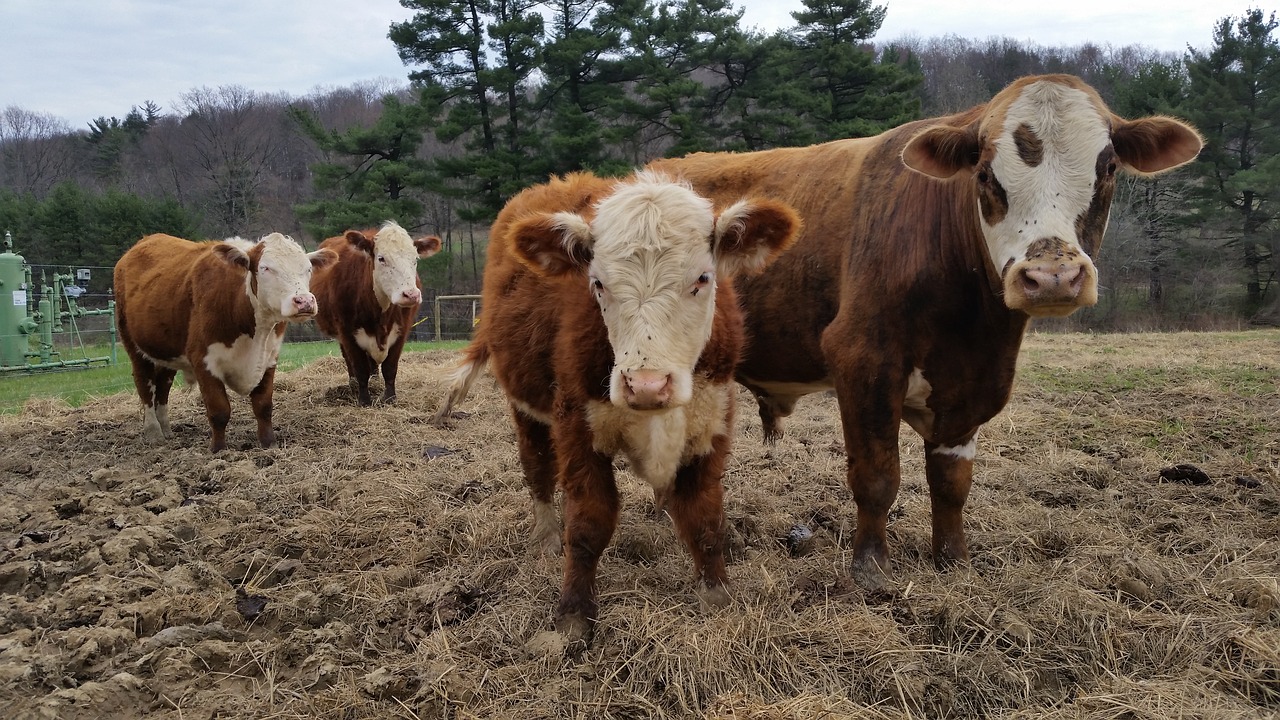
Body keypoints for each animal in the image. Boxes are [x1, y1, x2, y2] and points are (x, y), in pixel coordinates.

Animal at [113, 233, 337, 450]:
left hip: (166, 351)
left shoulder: (269, 357)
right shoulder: (204, 361)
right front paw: (219, 449)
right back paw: (153, 432)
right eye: (265, 268)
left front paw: (269, 443)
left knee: (163, 386)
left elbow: (263, 406)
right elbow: (219, 410)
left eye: (308, 269)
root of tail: (145, 240)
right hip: (133, 345)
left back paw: (166, 430)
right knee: (144, 384)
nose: (304, 301)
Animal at [311, 220, 445, 404]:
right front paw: (364, 400)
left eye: (415, 259)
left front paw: (389, 398)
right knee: (350, 362)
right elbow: (360, 368)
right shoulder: (347, 333)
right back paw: (353, 385)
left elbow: (390, 367)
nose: (411, 295)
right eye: (381, 258)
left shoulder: (402, 331)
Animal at [440, 169, 798, 638]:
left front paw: (716, 594)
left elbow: (704, 516)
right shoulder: (576, 427)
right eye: (598, 283)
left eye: (702, 278)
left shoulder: (712, 422)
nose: (646, 385)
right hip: (525, 407)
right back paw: (546, 536)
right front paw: (573, 613)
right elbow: (588, 523)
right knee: (537, 469)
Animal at [645, 71, 1203, 589]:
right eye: (985, 174)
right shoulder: (863, 360)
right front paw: (871, 568)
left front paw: (953, 561)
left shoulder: (972, 382)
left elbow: (952, 481)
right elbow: (877, 475)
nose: (1051, 277)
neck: (970, 324)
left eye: (1107, 167)